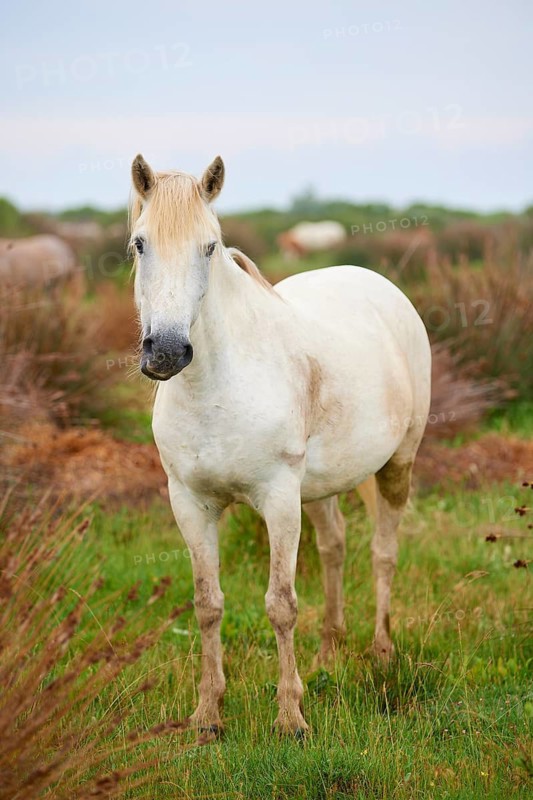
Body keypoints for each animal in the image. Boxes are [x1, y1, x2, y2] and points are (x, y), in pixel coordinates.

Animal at [129, 154, 431, 736]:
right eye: (139, 244)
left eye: (210, 246)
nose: (168, 352)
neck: (217, 387)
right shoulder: (190, 503)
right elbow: (207, 604)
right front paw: (207, 715)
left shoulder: (278, 499)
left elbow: (281, 604)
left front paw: (290, 717)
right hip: (320, 488)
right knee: (335, 547)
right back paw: (328, 657)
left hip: (397, 466)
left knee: (383, 553)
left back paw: (382, 653)